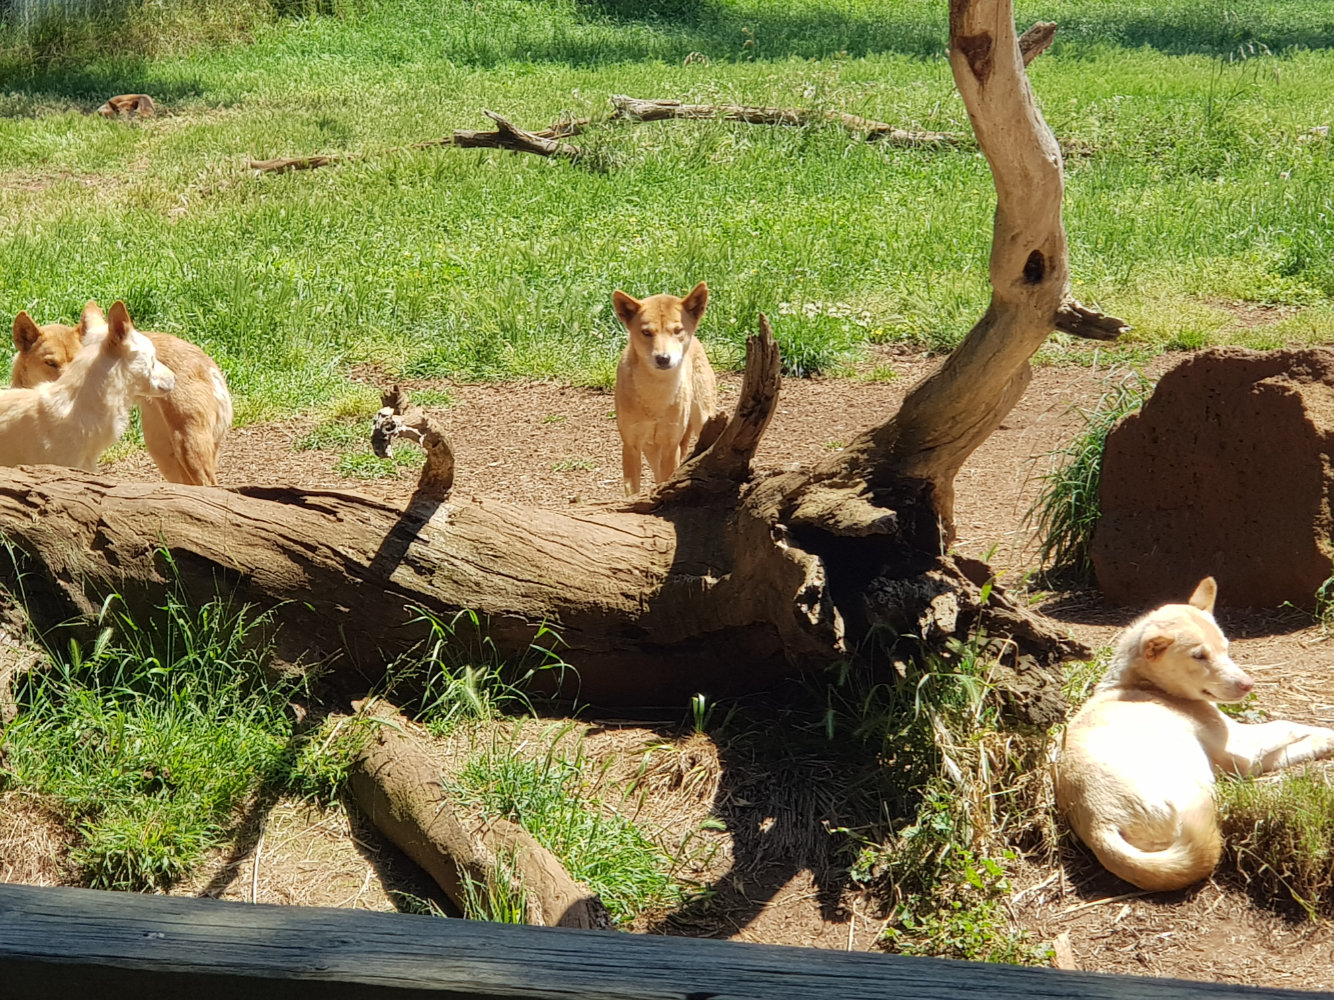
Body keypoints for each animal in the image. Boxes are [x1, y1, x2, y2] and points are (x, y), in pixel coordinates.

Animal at [611, 281, 718, 495]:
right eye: (646, 332)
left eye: (677, 330)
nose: (663, 358)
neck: (656, 397)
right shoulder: (631, 446)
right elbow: (633, 491)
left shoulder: (670, 445)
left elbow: (667, 480)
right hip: (651, 449)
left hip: (704, 419)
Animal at [1054, 577, 1334, 891]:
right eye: (1199, 656)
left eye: (1226, 647)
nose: (1248, 684)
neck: (1144, 684)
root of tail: (1099, 825)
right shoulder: (1243, 746)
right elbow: (1288, 724)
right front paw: (1327, 734)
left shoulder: (1246, 760)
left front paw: (1320, 742)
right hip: (1194, 780)